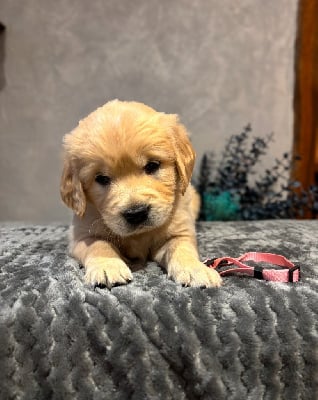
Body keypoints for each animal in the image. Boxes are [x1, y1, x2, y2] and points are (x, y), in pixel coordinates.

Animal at [60, 99, 222, 288]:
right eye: (101, 178)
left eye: (152, 165)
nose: (136, 213)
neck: (140, 234)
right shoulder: (81, 234)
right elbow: (98, 244)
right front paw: (107, 265)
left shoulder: (179, 231)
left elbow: (181, 247)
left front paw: (195, 269)